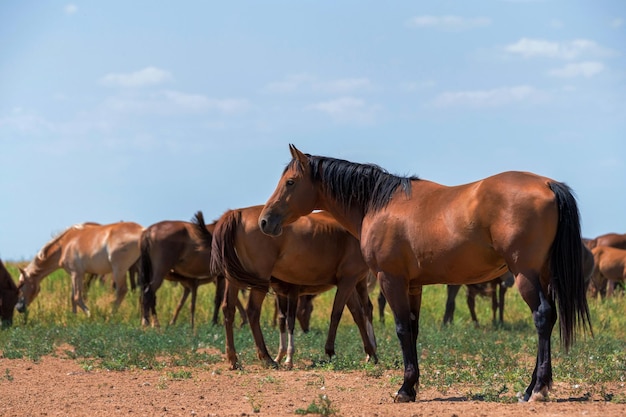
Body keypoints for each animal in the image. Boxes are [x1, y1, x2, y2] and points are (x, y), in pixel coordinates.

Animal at [15, 221, 143, 316]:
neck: (64, 245)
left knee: (122, 290)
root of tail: (142, 231)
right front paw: (73, 318)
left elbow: (77, 297)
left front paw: (89, 315)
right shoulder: (75, 274)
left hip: (119, 270)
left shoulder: (77, 274)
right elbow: (73, 298)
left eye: (21, 284)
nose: (18, 308)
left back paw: (111, 316)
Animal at [204, 205, 376, 368]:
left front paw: (370, 353)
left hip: (233, 279)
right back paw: (266, 357)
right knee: (252, 311)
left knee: (228, 309)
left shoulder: (347, 282)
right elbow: (340, 314)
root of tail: (238, 213)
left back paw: (233, 359)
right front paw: (332, 352)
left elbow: (357, 314)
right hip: (260, 280)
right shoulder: (348, 280)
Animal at [258, 145, 588, 402]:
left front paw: (404, 390)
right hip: (541, 273)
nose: (264, 221)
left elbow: (402, 329)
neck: (378, 205)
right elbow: (414, 330)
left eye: (290, 182)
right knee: (549, 318)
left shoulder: (391, 280)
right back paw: (531, 388)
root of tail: (548, 184)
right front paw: (413, 385)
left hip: (524, 274)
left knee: (542, 316)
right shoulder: (413, 286)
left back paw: (537, 390)